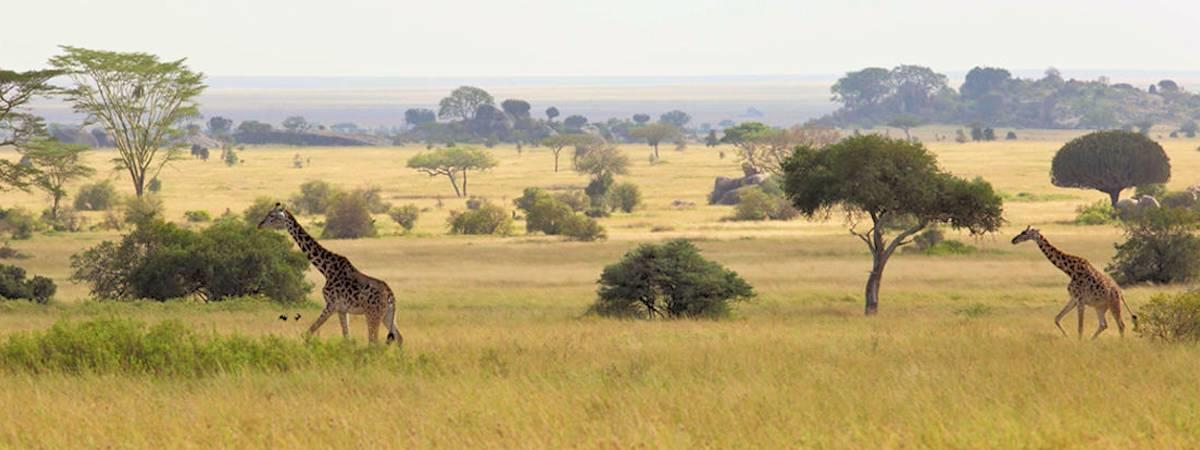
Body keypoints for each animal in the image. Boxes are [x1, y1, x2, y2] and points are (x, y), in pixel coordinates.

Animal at [259, 202, 403, 348]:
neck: (326, 269)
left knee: (374, 342)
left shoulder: (332, 304)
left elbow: (309, 331)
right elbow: (346, 338)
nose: (260, 225)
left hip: (373, 314)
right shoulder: (342, 309)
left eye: (272, 215)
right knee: (398, 337)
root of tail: (391, 296)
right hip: (387, 315)